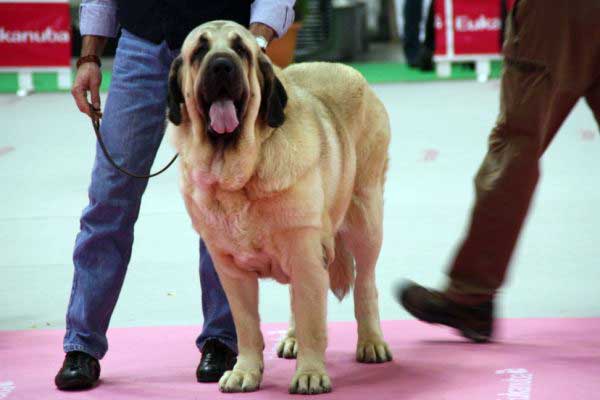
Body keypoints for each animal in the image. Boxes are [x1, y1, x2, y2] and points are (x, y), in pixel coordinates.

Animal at [168, 21, 394, 394]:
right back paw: (291, 339)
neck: (239, 173)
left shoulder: (306, 254)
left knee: (365, 284)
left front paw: (311, 374)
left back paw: (371, 342)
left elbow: (314, 321)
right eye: (199, 50)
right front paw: (245, 371)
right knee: (296, 300)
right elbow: (247, 326)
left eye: (240, 50)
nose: (221, 66)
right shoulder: (231, 270)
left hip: (367, 218)